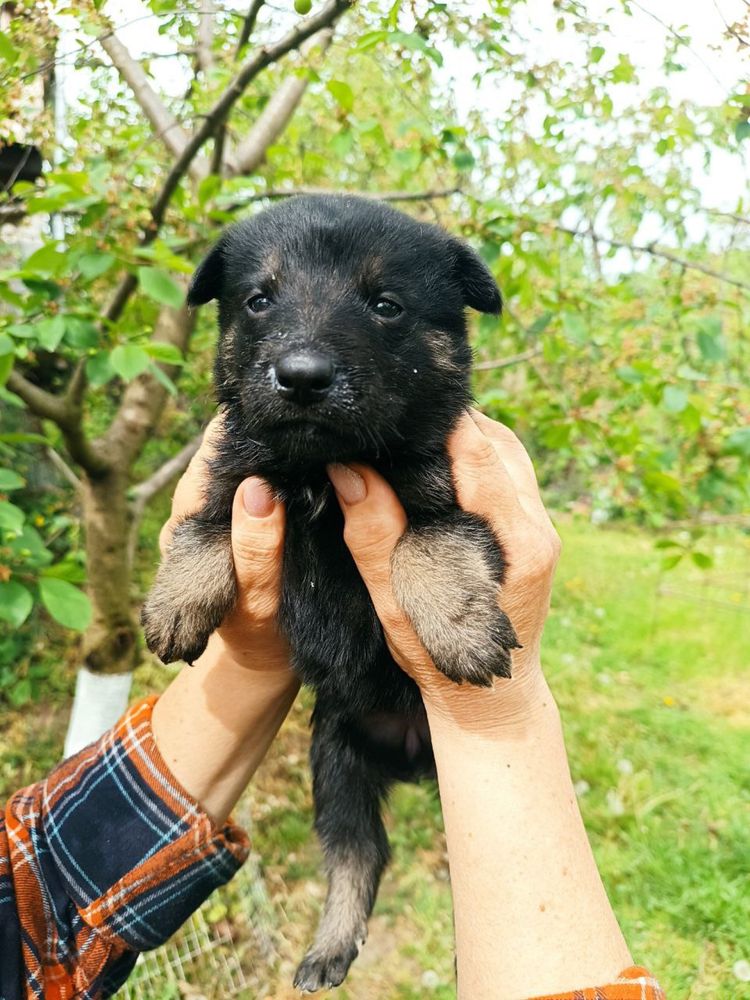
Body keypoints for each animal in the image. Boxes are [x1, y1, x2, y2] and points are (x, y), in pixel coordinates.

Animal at [141, 195, 520, 992]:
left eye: (386, 305)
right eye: (259, 299)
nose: (302, 377)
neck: (322, 466)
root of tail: (408, 755)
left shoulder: (459, 504)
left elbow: (426, 541)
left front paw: (460, 626)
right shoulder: (238, 473)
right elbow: (203, 525)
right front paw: (175, 604)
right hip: (336, 764)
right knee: (359, 854)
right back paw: (330, 947)